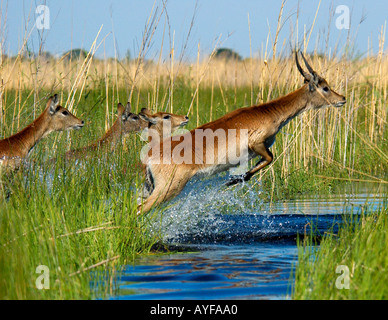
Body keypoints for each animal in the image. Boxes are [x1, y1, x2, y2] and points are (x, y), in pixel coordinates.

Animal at [138, 52, 348, 212]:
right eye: (325, 88)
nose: (343, 98)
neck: (269, 112)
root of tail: (149, 156)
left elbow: (263, 161)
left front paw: (236, 179)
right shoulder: (256, 143)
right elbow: (270, 158)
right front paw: (234, 180)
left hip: (152, 188)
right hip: (168, 189)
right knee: (141, 209)